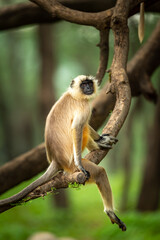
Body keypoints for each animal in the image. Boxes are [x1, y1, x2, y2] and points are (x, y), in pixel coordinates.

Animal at [0, 76, 126, 232]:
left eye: (89, 83)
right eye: (83, 85)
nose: (88, 88)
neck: (73, 95)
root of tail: (56, 160)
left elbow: (81, 126)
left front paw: (101, 138)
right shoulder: (83, 106)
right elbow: (77, 128)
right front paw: (89, 152)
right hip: (71, 166)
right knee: (98, 168)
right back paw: (110, 211)